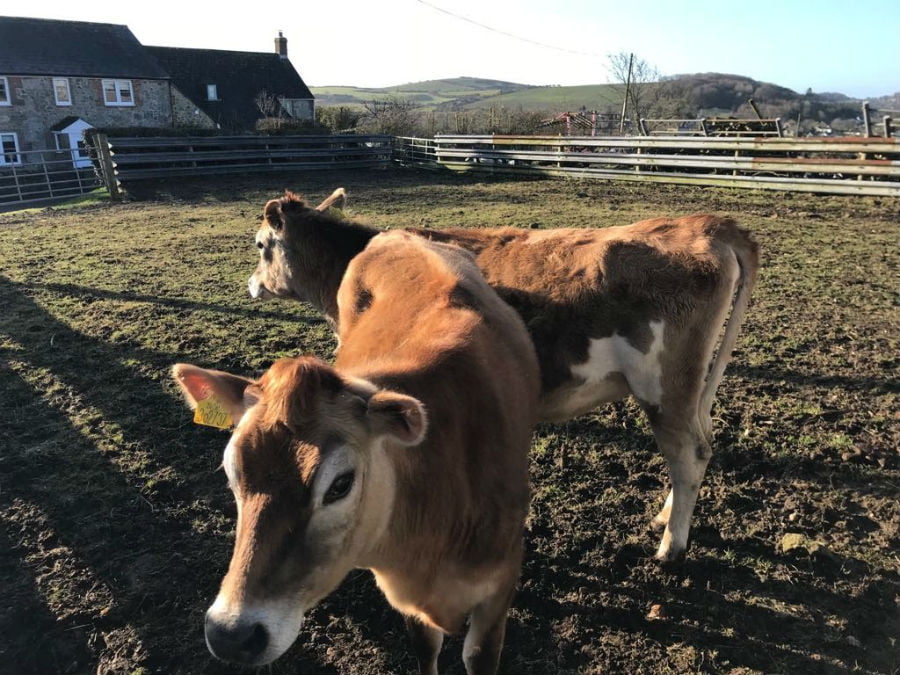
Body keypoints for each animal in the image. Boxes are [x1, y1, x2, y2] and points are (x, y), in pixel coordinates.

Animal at [174, 230, 540, 674]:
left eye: (340, 484)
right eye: (232, 472)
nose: (232, 634)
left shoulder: (500, 584)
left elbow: (478, 655)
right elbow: (425, 646)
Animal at [247, 189, 759, 563]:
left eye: (259, 245)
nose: (251, 285)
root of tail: (705, 225)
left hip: (664, 387)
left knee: (688, 453)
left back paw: (671, 544)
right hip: (693, 388)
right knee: (700, 443)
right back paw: (667, 516)